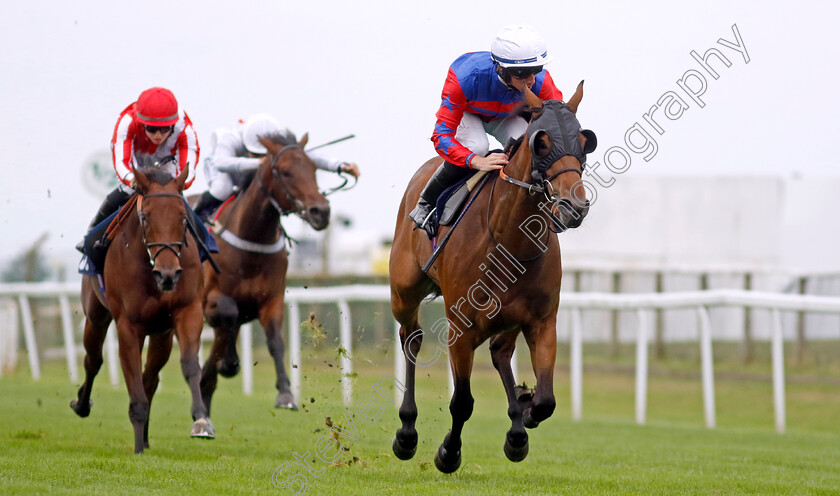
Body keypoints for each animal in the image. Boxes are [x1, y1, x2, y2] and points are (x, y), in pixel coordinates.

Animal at [71, 166, 215, 454]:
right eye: (145, 217)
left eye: (183, 217)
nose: (168, 275)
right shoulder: (127, 325)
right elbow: (133, 384)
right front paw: (137, 448)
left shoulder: (188, 311)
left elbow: (189, 365)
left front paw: (201, 420)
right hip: (96, 317)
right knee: (94, 360)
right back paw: (82, 405)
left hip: (161, 334)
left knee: (150, 377)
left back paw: (147, 437)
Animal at [199, 131, 328, 410]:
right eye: (285, 172)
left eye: (314, 168)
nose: (321, 211)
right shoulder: (210, 301)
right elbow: (227, 313)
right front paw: (229, 363)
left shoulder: (271, 299)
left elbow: (275, 341)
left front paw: (286, 394)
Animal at [390, 82, 592, 472]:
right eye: (542, 142)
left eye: (583, 140)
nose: (574, 206)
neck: (509, 240)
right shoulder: (460, 328)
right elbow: (462, 402)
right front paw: (448, 452)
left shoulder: (542, 320)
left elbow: (546, 400)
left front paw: (524, 410)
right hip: (403, 292)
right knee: (412, 339)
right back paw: (406, 431)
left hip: (508, 317)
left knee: (500, 351)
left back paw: (517, 427)